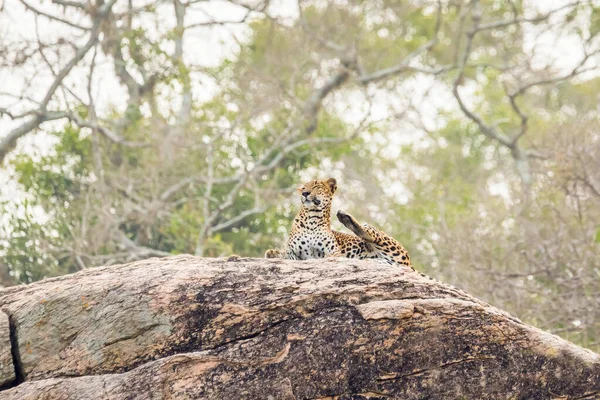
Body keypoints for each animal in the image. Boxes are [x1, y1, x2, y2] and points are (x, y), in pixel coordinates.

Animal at [266, 178, 412, 268]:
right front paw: (272, 253)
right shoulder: (294, 253)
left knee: (369, 232)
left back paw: (344, 217)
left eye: (316, 186)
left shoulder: (334, 252)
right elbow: (286, 254)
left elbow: (329, 257)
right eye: (303, 188)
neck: (312, 219)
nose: (305, 193)